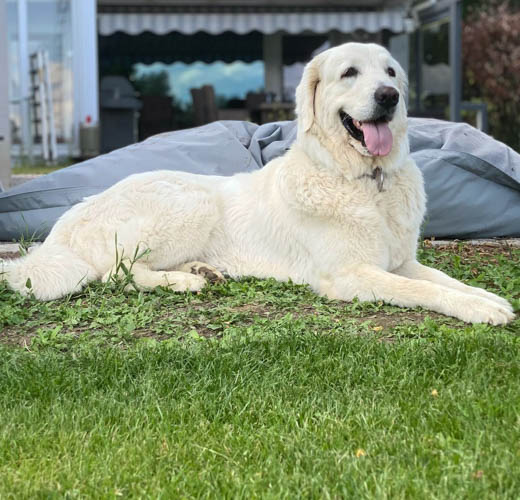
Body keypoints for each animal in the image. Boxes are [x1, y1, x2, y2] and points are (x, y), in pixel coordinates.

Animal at [2, 43, 516, 324]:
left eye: (391, 73)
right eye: (349, 73)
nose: (388, 96)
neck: (366, 182)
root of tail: (69, 218)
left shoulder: (400, 261)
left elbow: (445, 280)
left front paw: (488, 297)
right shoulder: (352, 274)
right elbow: (426, 291)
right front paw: (480, 310)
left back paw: (203, 270)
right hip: (192, 201)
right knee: (117, 271)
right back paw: (183, 280)